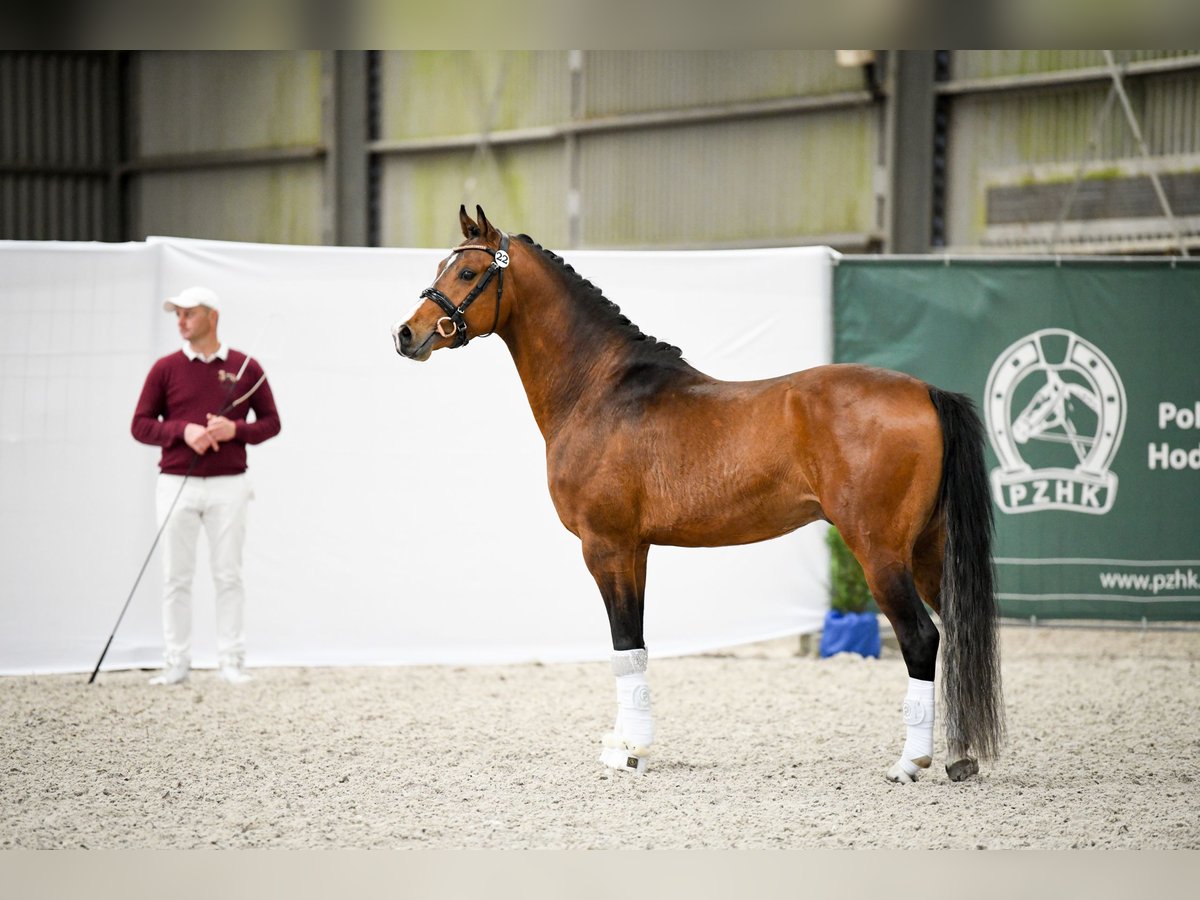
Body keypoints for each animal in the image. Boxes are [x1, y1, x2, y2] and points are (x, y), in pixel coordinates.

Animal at [393, 207, 1003, 787]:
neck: (599, 390)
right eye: (441, 266)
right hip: (928, 549)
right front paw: (625, 745)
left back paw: (910, 763)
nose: (405, 334)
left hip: (880, 551)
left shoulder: (604, 546)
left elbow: (622, 642)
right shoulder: (635, 550)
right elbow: (633, 645)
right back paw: (961, 758)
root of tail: (926, 391)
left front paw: (631, 753)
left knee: (921, 638)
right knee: (958, 633)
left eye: (467, 272)